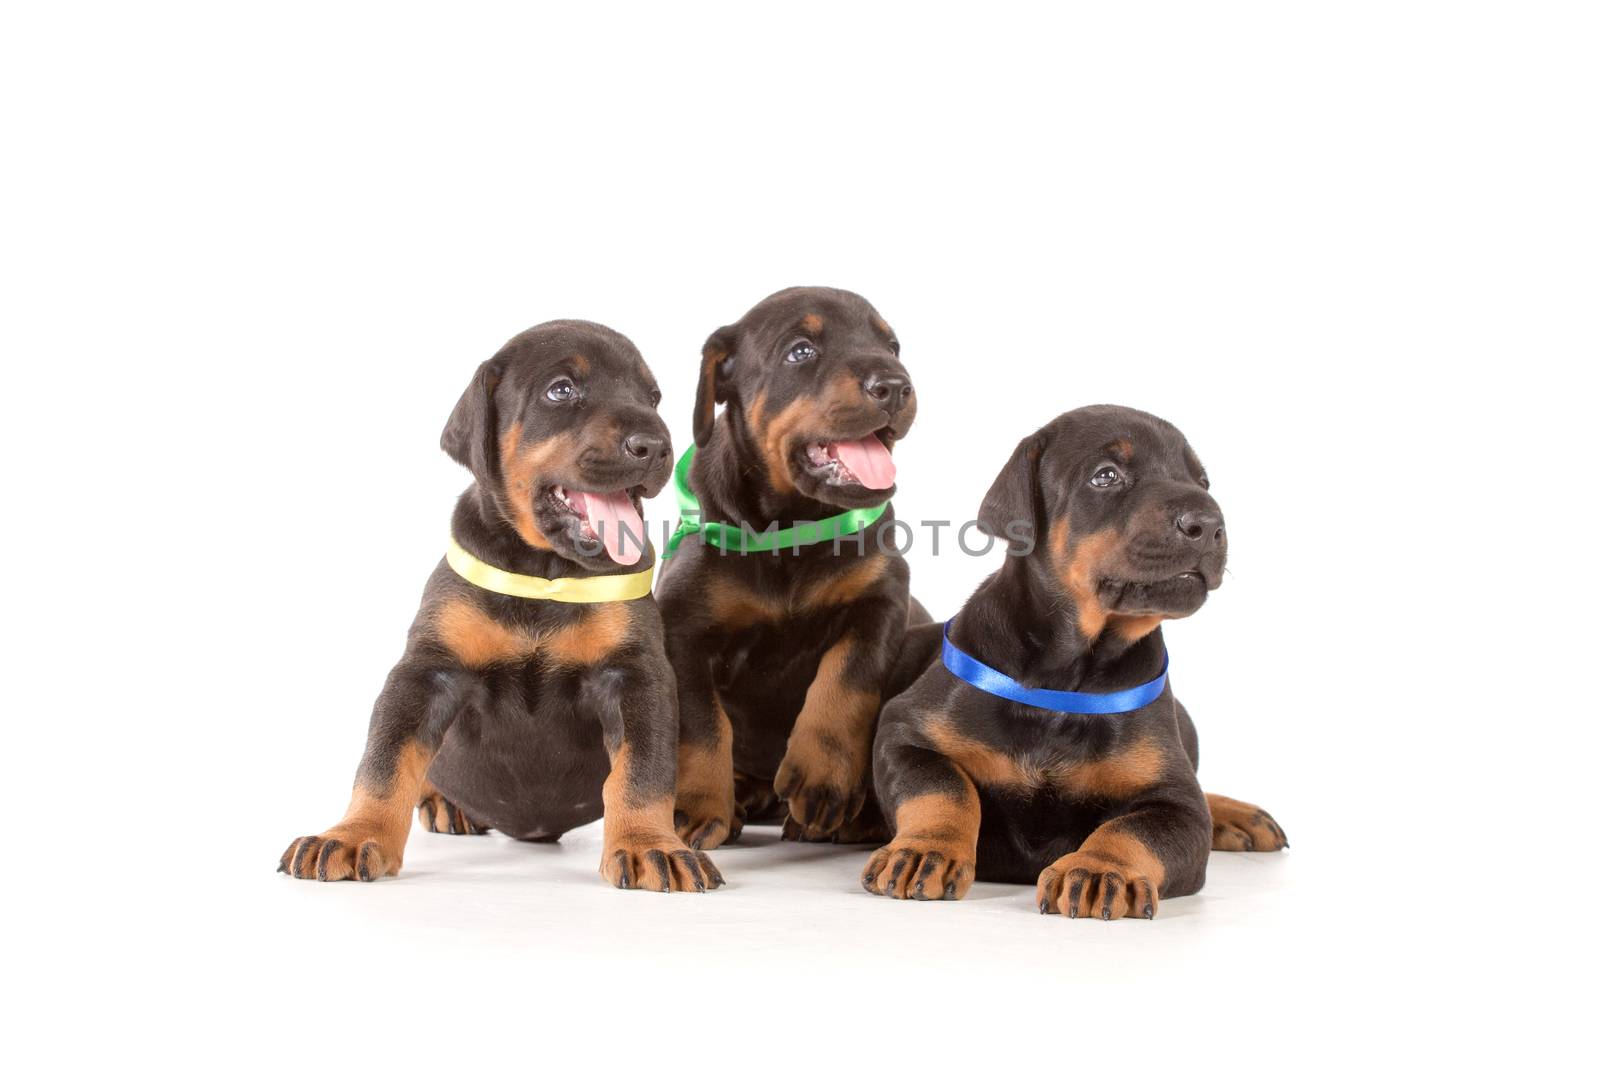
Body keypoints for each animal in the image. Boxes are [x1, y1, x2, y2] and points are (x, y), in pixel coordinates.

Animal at [280, 321, 720, 889]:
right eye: (561, 390)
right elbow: (384, 761)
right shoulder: (427, 671)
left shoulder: (636, 675)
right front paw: (353, 835)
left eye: (653, 397)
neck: (543, 572)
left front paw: (651, 845)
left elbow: (643, 771)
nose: (657, 446)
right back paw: (444, 803)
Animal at [652, 286, 928, 851]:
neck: (791, 526)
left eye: (891, 346)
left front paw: (822, 780)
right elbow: (701, 723)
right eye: (801, 351)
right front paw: (696, 809)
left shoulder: (883, 598)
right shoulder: (682, 626)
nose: (895, 385)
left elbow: (848, 678)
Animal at [864, 406, 1286, 921]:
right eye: (1105, 476)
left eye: (1202, 480)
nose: (1207, 523)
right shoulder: (905, 732)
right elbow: (942, 786)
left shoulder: (1177, 801)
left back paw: (1236, 814)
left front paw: (1102, 868)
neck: (1070, 674)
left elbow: (1137, 826)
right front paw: (927, 847)